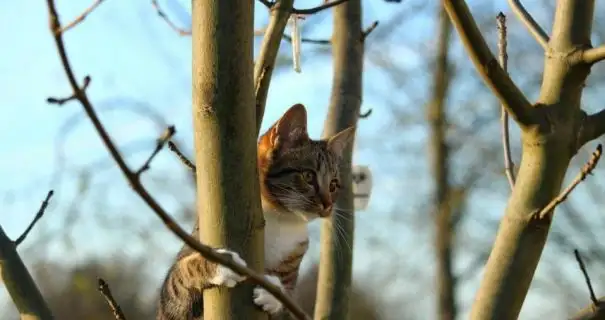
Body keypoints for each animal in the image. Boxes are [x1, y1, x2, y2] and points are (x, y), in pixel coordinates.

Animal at [156, 104, 356, 318]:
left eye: (334, 185)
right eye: (308, 176)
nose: (328, 205)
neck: (282, 219)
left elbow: (288, 300)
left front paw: (274, 293)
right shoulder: (170, 305)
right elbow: (180, 276)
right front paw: (221, 264)